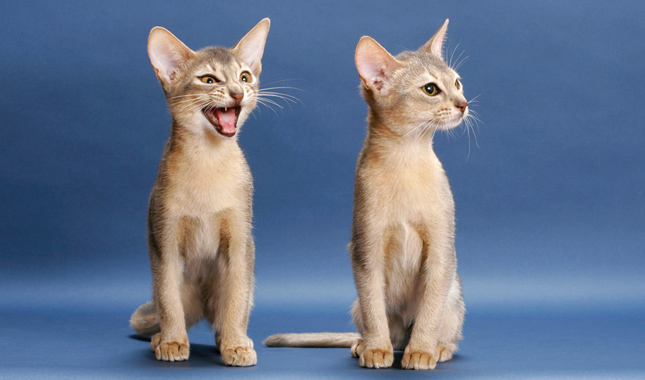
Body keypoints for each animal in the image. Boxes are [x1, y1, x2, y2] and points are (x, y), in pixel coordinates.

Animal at [130, 17, 270, 366]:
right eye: (208, 80)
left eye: (245, 77)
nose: (238, 93)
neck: (208, 160)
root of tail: (205, 306)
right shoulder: (164, 240)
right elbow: (168, 301)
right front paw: (173, 342)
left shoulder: (240, 240)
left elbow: (236, 301)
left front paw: (236, 345)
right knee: (169, 307)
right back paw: (161, 338)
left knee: (226, 312)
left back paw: (231, 339)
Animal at [262, 19, 468, 370]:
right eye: (430, 89)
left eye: (457, 82)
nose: (464, 104)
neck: (406, 160)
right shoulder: (365, 251)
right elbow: (375, 312)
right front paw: (376, 349)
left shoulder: (441, 251)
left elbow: (429, 313)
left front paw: (421, 351)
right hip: (357, 302)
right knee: (385, 329)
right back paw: (365, 344)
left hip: (453, 292)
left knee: (443, 330)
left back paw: (437, 348)